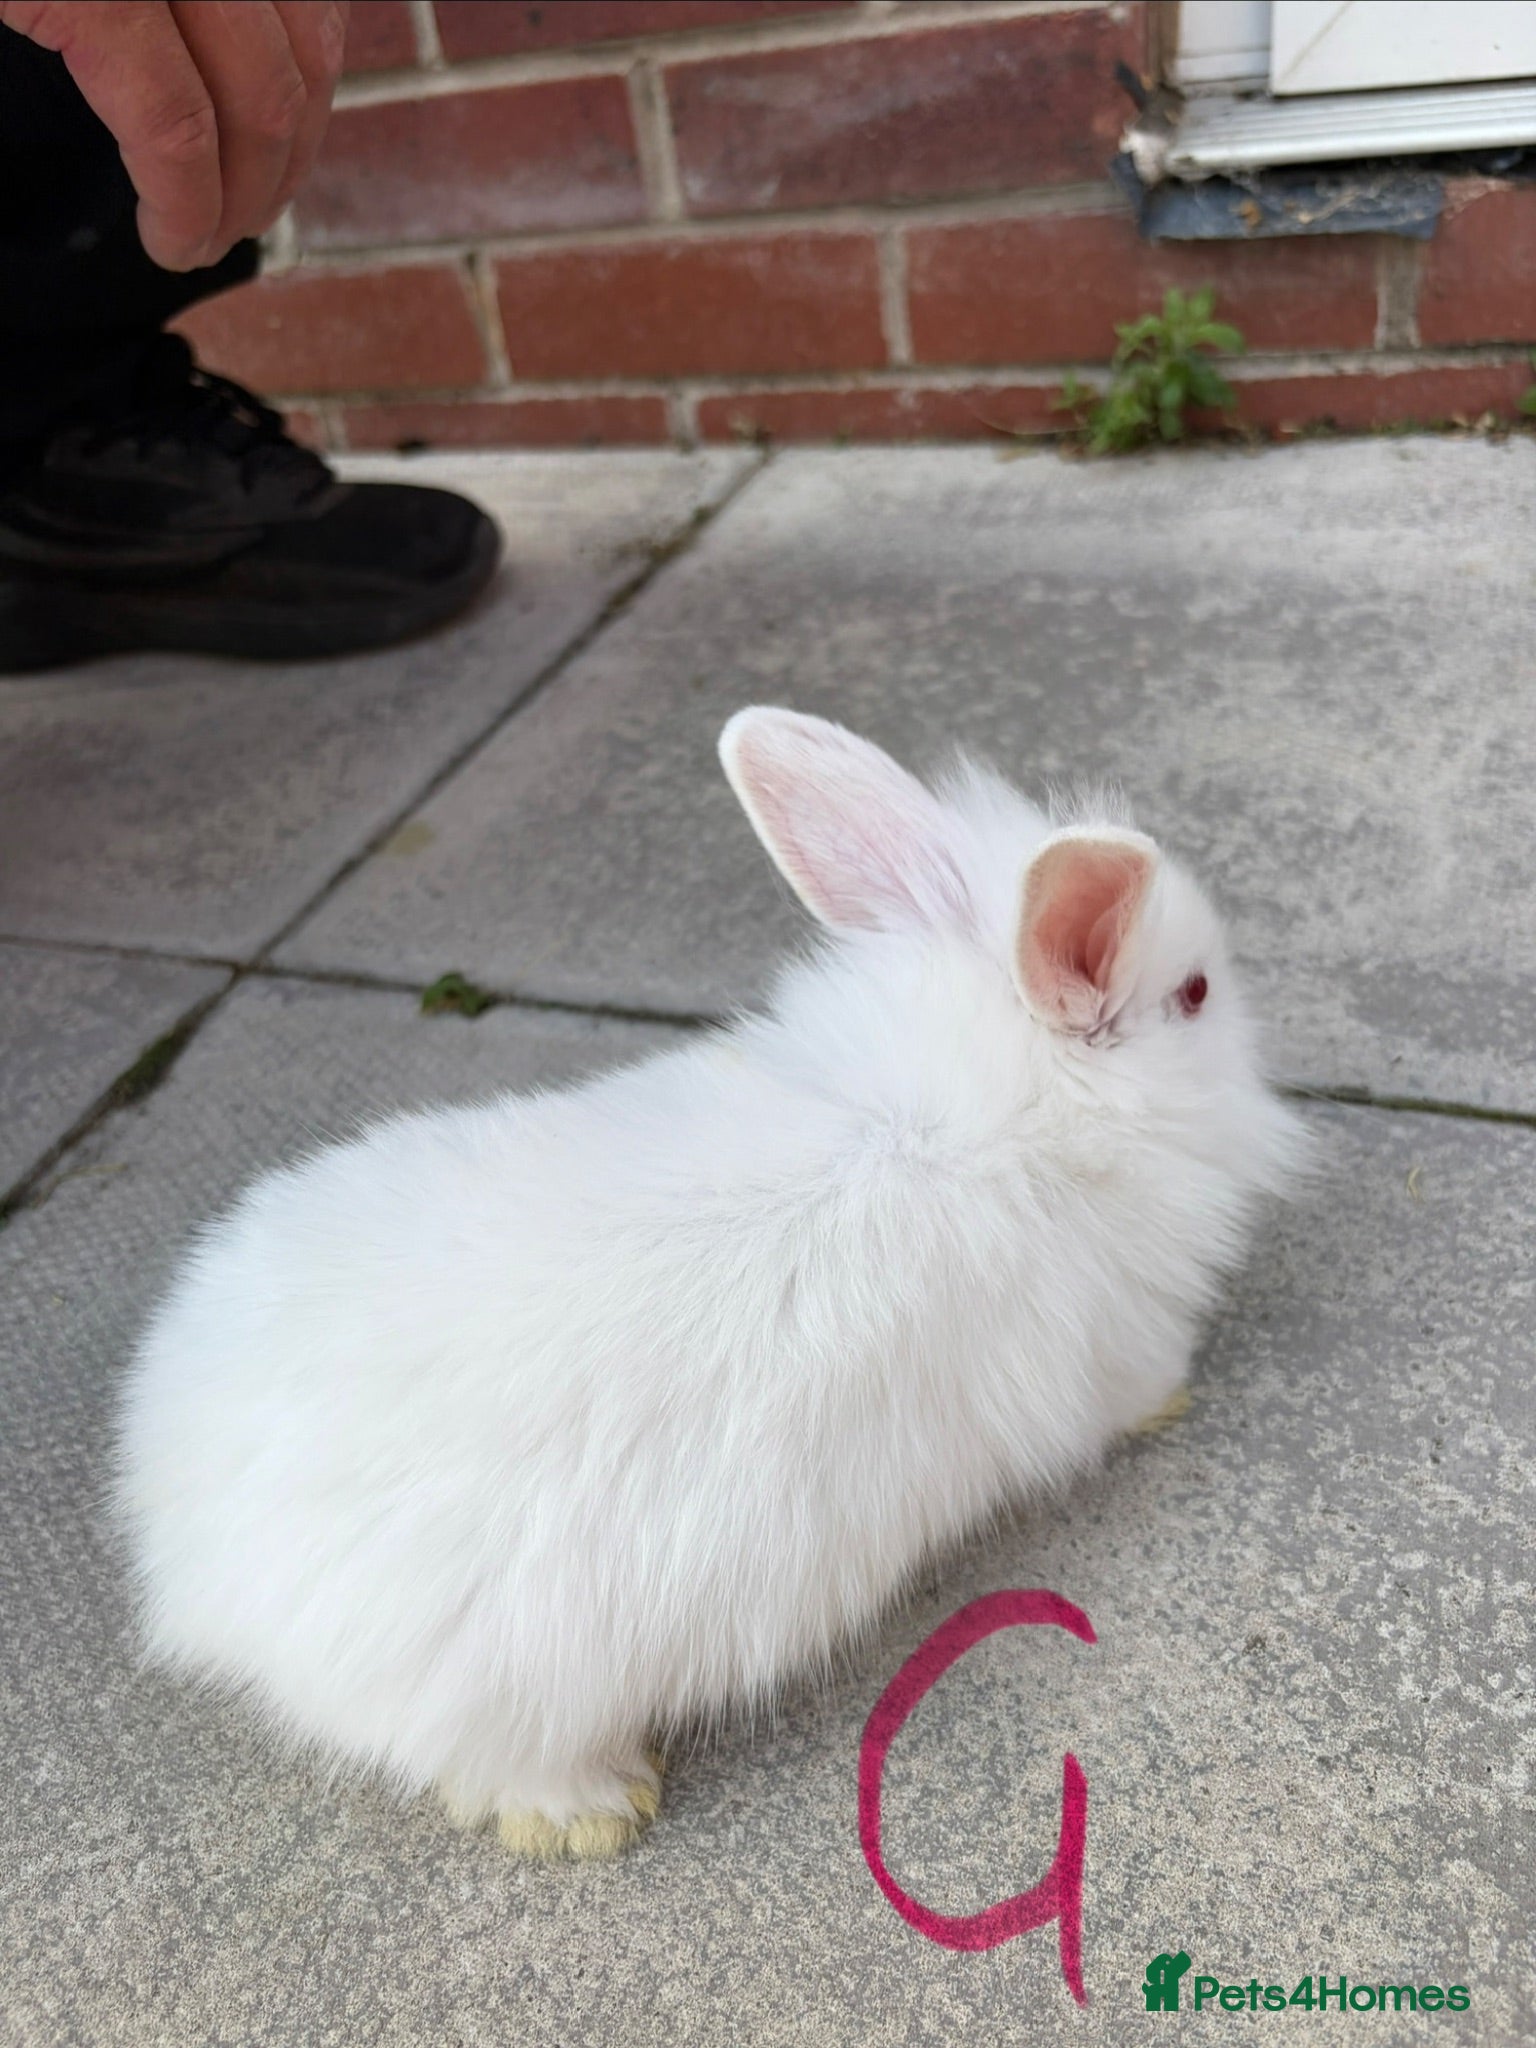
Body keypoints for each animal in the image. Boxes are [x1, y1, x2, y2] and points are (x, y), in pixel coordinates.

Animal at [115, 706, 1302, 1860]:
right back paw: (596, 1814)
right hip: (525, 1678)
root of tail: (189, 1553)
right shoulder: (1113, 1343)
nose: (1248, 1023)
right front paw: (1175, 1402)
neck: (1022, 1110)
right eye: (1196, 993)